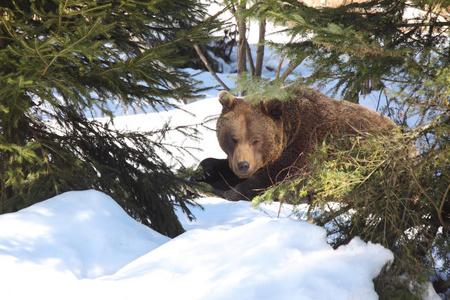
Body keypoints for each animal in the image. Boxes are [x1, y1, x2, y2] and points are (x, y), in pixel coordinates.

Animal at [199, 85, 396, 200]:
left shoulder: (303, 150)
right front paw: (206, 171)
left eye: (256, 140)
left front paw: (219, 188)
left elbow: (261, 182)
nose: (243, 165)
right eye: (233, 138)